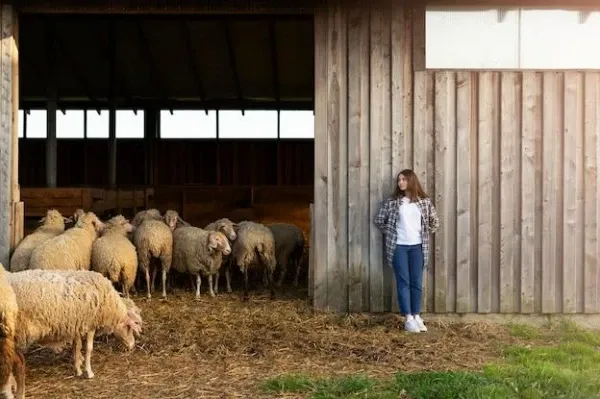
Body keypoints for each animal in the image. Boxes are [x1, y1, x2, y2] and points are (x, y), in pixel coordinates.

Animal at [7, 270, 143, 380]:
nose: (132, 346)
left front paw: (77, 368)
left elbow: (76, 346)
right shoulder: (90, 324)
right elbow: (88, 348)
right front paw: (88, 372)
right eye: (129, 327)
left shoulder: (78, 324)